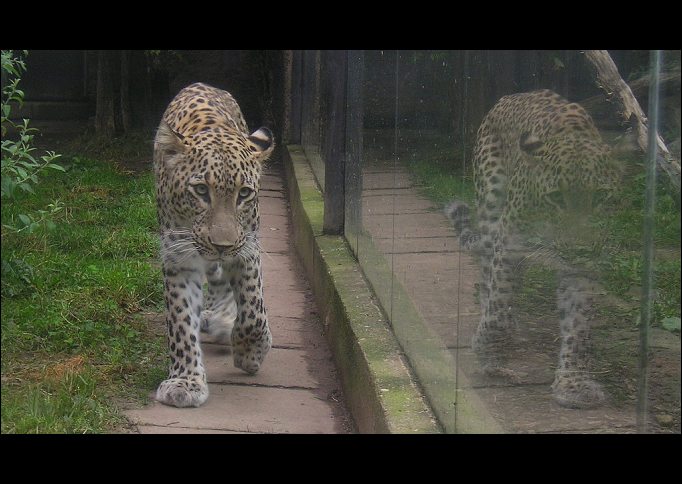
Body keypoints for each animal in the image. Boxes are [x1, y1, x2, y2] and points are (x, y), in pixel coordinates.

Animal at [153, 82, 274, 408]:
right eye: (200, 190)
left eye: (244, 193)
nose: (222, 244)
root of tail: (202, 84)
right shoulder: (178, 258)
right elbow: (180, 321)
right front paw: (185, 382)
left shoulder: (247, 248)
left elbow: (253, 309)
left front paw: (250, 353)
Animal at [445, 89, 622, 409]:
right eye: (556, 197)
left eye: (602, 196)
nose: (578, 246)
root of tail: (513, 96)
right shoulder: (510, 243)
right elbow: (498, 310)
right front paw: (488, 352)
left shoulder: (583, 268)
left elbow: (578, 326)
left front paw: (573, 384)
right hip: (491, 205)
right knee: (487, 272)